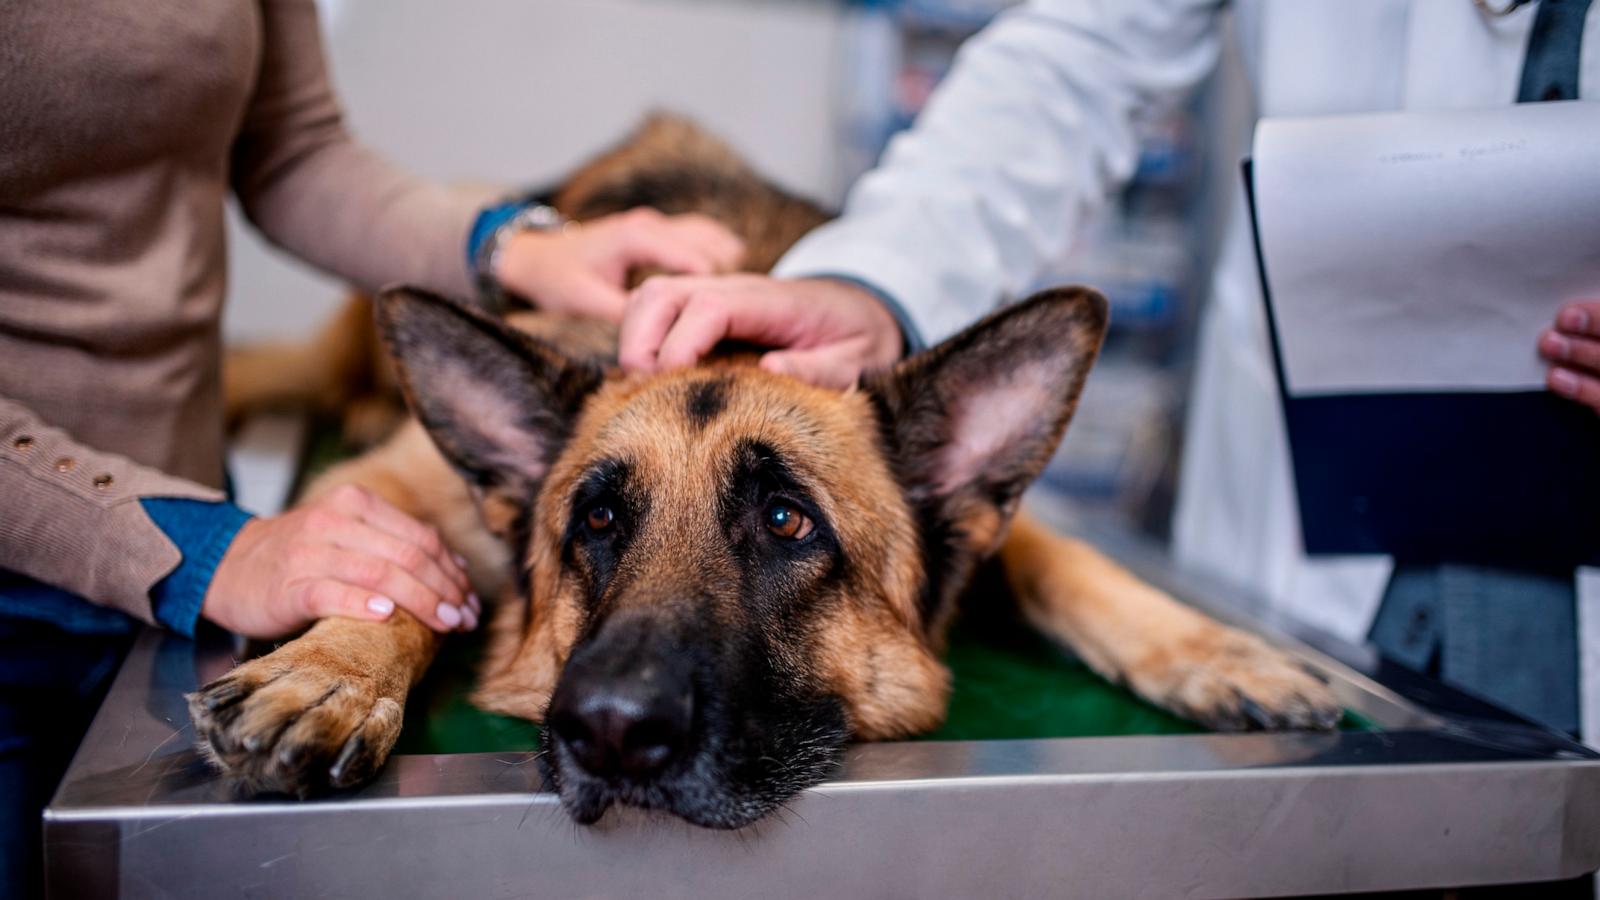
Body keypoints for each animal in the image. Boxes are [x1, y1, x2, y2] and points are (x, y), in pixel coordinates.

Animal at [184, 115, 1337, 826]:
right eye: (596, 522)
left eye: (788, 521)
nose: (609, 730)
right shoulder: (391, 490)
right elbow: (386, 573)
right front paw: (331, 673)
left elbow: (1069, 562)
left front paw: (1213, 651)